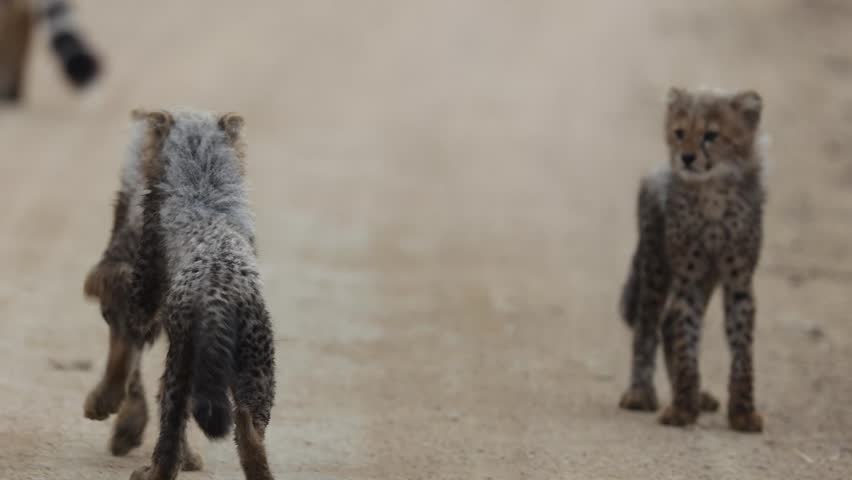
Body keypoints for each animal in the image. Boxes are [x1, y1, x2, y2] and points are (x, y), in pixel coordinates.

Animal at [618, 87, 766, 433]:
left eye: (711, 135)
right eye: (679, 133)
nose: (686, 157)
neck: (713, 191)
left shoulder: (738, 281)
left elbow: (742, 349)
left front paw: (742, 412)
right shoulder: (688, 279)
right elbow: (686, 336)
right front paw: (683, 409)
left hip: (707, 278)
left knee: (668, 322)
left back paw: (698, 395)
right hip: (656, 264)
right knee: (649, 324)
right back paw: (641, 392)